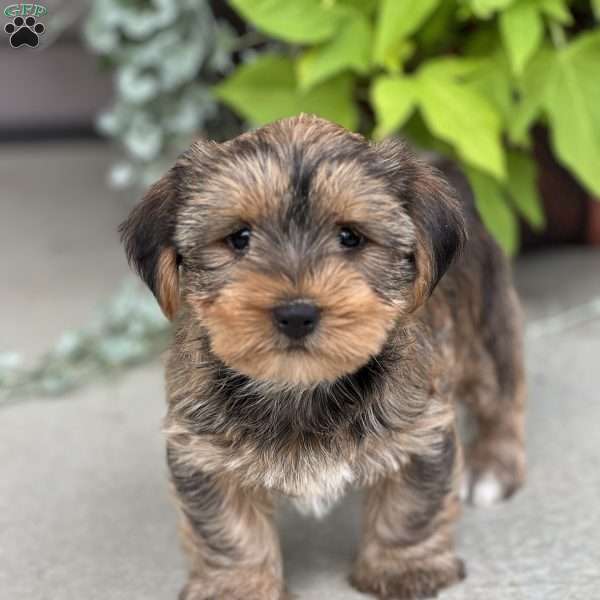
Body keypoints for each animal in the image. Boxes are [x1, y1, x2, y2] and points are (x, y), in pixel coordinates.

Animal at [120, 115, 524, 596]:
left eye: (350, 237)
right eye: (239, 239)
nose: (296, 314)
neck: (299, 387)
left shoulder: (418, 429)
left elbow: (409, 506)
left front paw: (402, 567)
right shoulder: (203, 449)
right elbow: (228, 529)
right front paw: (237, 586)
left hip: (485, 335)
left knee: (502, 398)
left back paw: (492, 468)